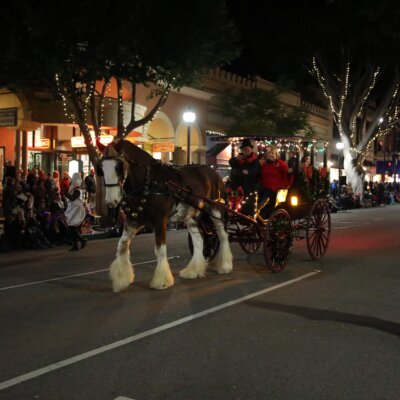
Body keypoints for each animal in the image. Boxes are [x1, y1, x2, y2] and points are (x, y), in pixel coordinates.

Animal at [97, 139, 233, 292]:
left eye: (118, 167)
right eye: (101, 168)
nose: (111, 201)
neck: (149, 182)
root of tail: (214, 172)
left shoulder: (160, 221)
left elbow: (160, 250)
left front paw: (162, 281)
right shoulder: (132, 221)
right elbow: (121, 246)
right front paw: (122, 279)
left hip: (216, 210)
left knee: (223, 235)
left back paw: (225, 265)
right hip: (190, 216)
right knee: (199, 240)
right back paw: (194, 270)